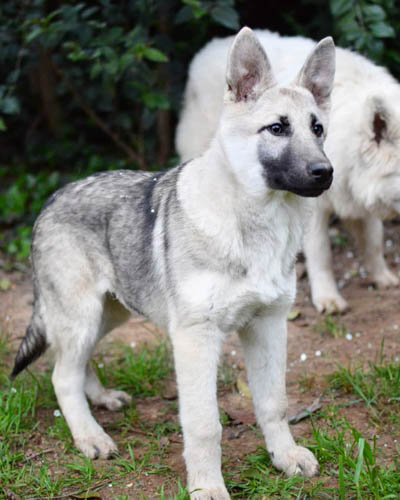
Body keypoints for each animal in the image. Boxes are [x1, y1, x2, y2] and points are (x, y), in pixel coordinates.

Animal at [11, 28, 334, 500]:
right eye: (277, 129)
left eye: (318, 129)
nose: (325, 172)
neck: (252, 224)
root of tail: (51, 200)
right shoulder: (195, 339)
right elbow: (204, 426)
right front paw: (207, 487)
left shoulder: (269, 325)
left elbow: (273, 402)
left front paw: (285, 456)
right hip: (84, 315)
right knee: (61, 377)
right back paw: (90, 436)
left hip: (110, 312)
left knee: (71, 362)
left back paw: (101, 399)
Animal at [178, 29, 400, 310]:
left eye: (317, 129)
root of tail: (208, 48)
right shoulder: (316, 209)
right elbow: (322, 254)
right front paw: (328, 298)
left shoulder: (358, 196)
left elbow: (374, 240)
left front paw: (382, 277)